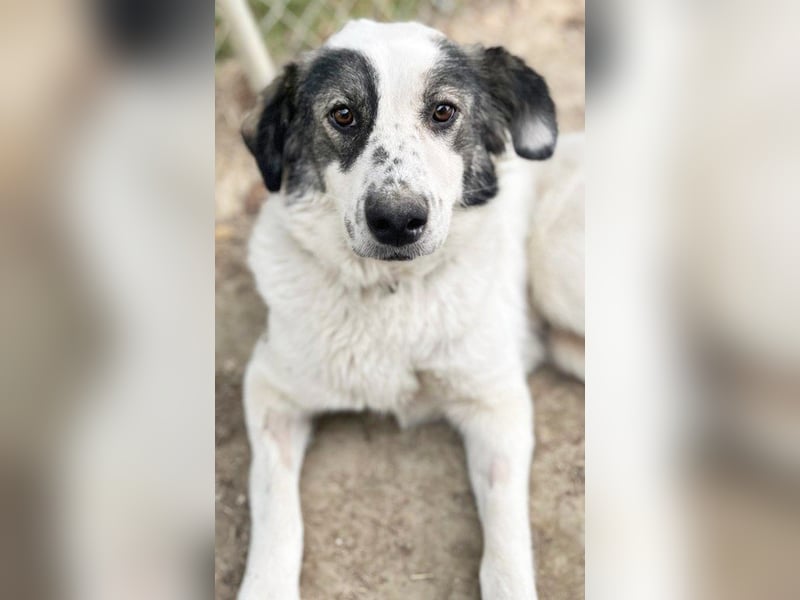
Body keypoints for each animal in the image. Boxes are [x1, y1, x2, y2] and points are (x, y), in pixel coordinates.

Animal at [238, 19, 584, 599]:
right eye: (343, 114)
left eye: (443, 111)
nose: (397, 221)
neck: (392, 292)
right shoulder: (270, 389)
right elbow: (276, 510)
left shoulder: (496, 403)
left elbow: (505, 541)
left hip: (559, 273)